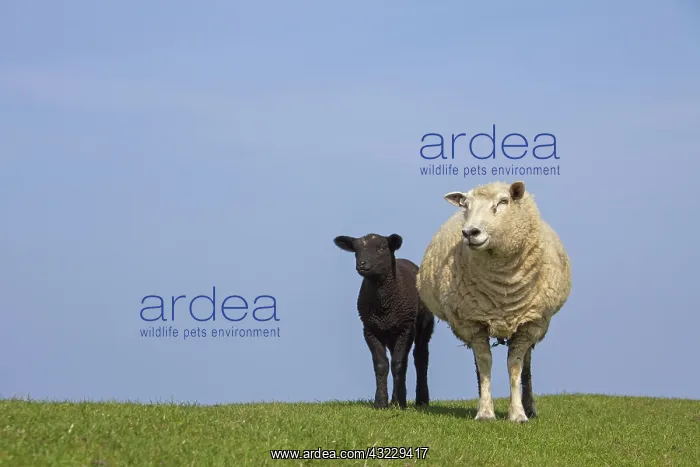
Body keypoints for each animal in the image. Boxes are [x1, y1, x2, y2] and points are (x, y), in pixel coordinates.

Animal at [334, 233, 435, 409]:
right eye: (356, 249)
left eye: (381, 248)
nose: (362, 264)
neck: (384, 305)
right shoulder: (370, 330)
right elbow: (381, 364)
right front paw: (381, 402)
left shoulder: (405, 329)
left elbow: (399, 363)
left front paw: (398, 402)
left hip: (424, 326)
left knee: (421, 358)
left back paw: (422, 400)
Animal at [416, 180, 571, 423]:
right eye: (465, 205)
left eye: (503, 201)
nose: (469, 232)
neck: (502, 289)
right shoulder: (471, 322)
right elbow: (484, 362)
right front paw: (485, 412)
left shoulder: (529, 323)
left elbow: (515, 366)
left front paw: (518, 414)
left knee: (527, 365)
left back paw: (530, 406)